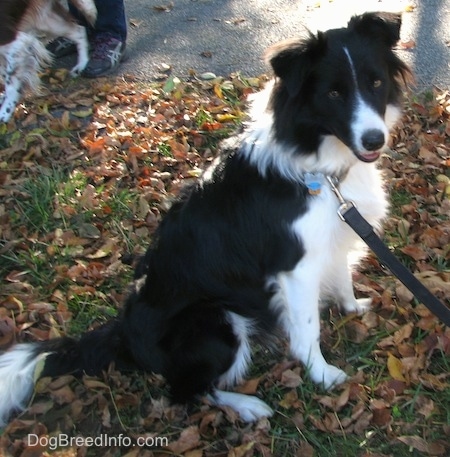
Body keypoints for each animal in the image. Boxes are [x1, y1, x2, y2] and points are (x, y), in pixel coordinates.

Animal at [0, 11, 412, 424]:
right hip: (216, 320)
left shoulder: (332, 236)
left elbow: (342, 278)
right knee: (186, 391)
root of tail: (123, 334)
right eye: (334, 94)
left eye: (376, 82)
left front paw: (352, 308)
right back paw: (248, 406)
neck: (319, 163)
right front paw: (322, 374)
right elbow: (307, 329)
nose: (374, 140)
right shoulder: (295, 266)